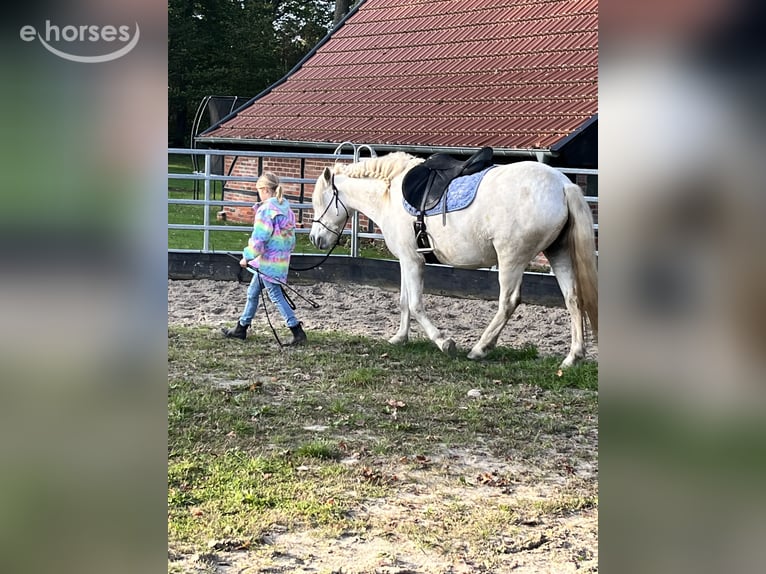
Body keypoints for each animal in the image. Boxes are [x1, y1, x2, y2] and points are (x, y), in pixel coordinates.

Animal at [308, 152, 598, 367]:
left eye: (319, 202)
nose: (315, 239)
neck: (391, 194)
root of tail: (563, 185)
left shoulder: (413, 261)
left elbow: (415, 305)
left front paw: (443, 342)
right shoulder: (405, 260)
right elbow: (403, 302)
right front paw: (399, 338)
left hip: (511, 259)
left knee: (508, 302)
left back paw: (480, 348)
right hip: (558, 253)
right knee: (573, 299)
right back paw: (573, 357)